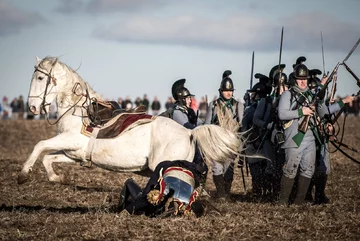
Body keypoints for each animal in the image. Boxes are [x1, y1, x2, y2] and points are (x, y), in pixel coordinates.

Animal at [17, 56, 242, 185]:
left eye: (40, 78)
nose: (32, 107)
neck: (79, 111)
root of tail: (188, 132)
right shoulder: (73, 153)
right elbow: (48, 158)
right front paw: (57, 178)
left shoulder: (70, 140)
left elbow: (40, 145)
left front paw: (23, 174)